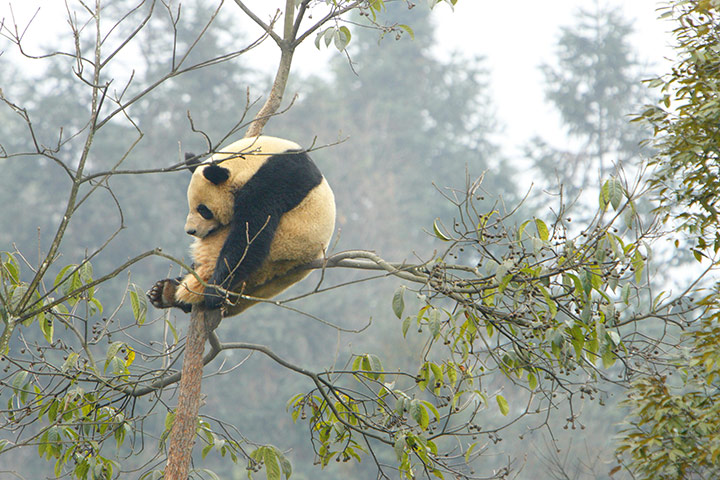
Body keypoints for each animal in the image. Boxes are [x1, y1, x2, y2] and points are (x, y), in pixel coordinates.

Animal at [147, 136, 336, 318]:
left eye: (203, 209)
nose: (191, 231)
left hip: (282, 247)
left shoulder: (275, 180)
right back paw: (165, 291)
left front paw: (214, 292)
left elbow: (250, 233)